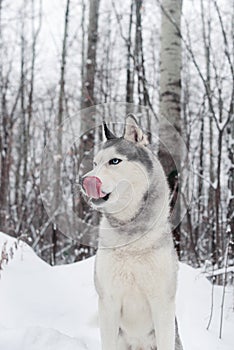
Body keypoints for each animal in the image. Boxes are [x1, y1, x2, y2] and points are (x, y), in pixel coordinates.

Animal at [82, 115, 183, 350]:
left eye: (114, 161)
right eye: (95, 163)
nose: (84, 181)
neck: (131, 236)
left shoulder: (162, 303)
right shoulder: (108, 302)